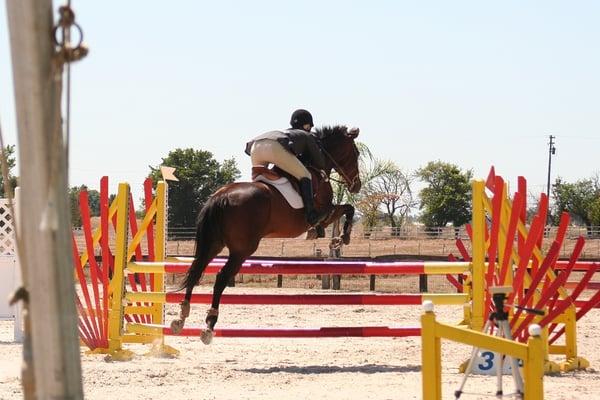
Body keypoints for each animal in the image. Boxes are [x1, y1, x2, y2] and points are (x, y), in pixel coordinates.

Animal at [169, 125, 360, 344]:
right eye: (356, 153)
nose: (357, 185)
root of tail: (221, 196)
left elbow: (347, 209)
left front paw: (337, 238)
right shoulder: (326, 211)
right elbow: (348, 208)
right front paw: (342, 238)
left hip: (214, 243)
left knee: (195, 270)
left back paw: (181, 317)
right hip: (242, 250)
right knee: (221, 278)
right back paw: (209, 324)